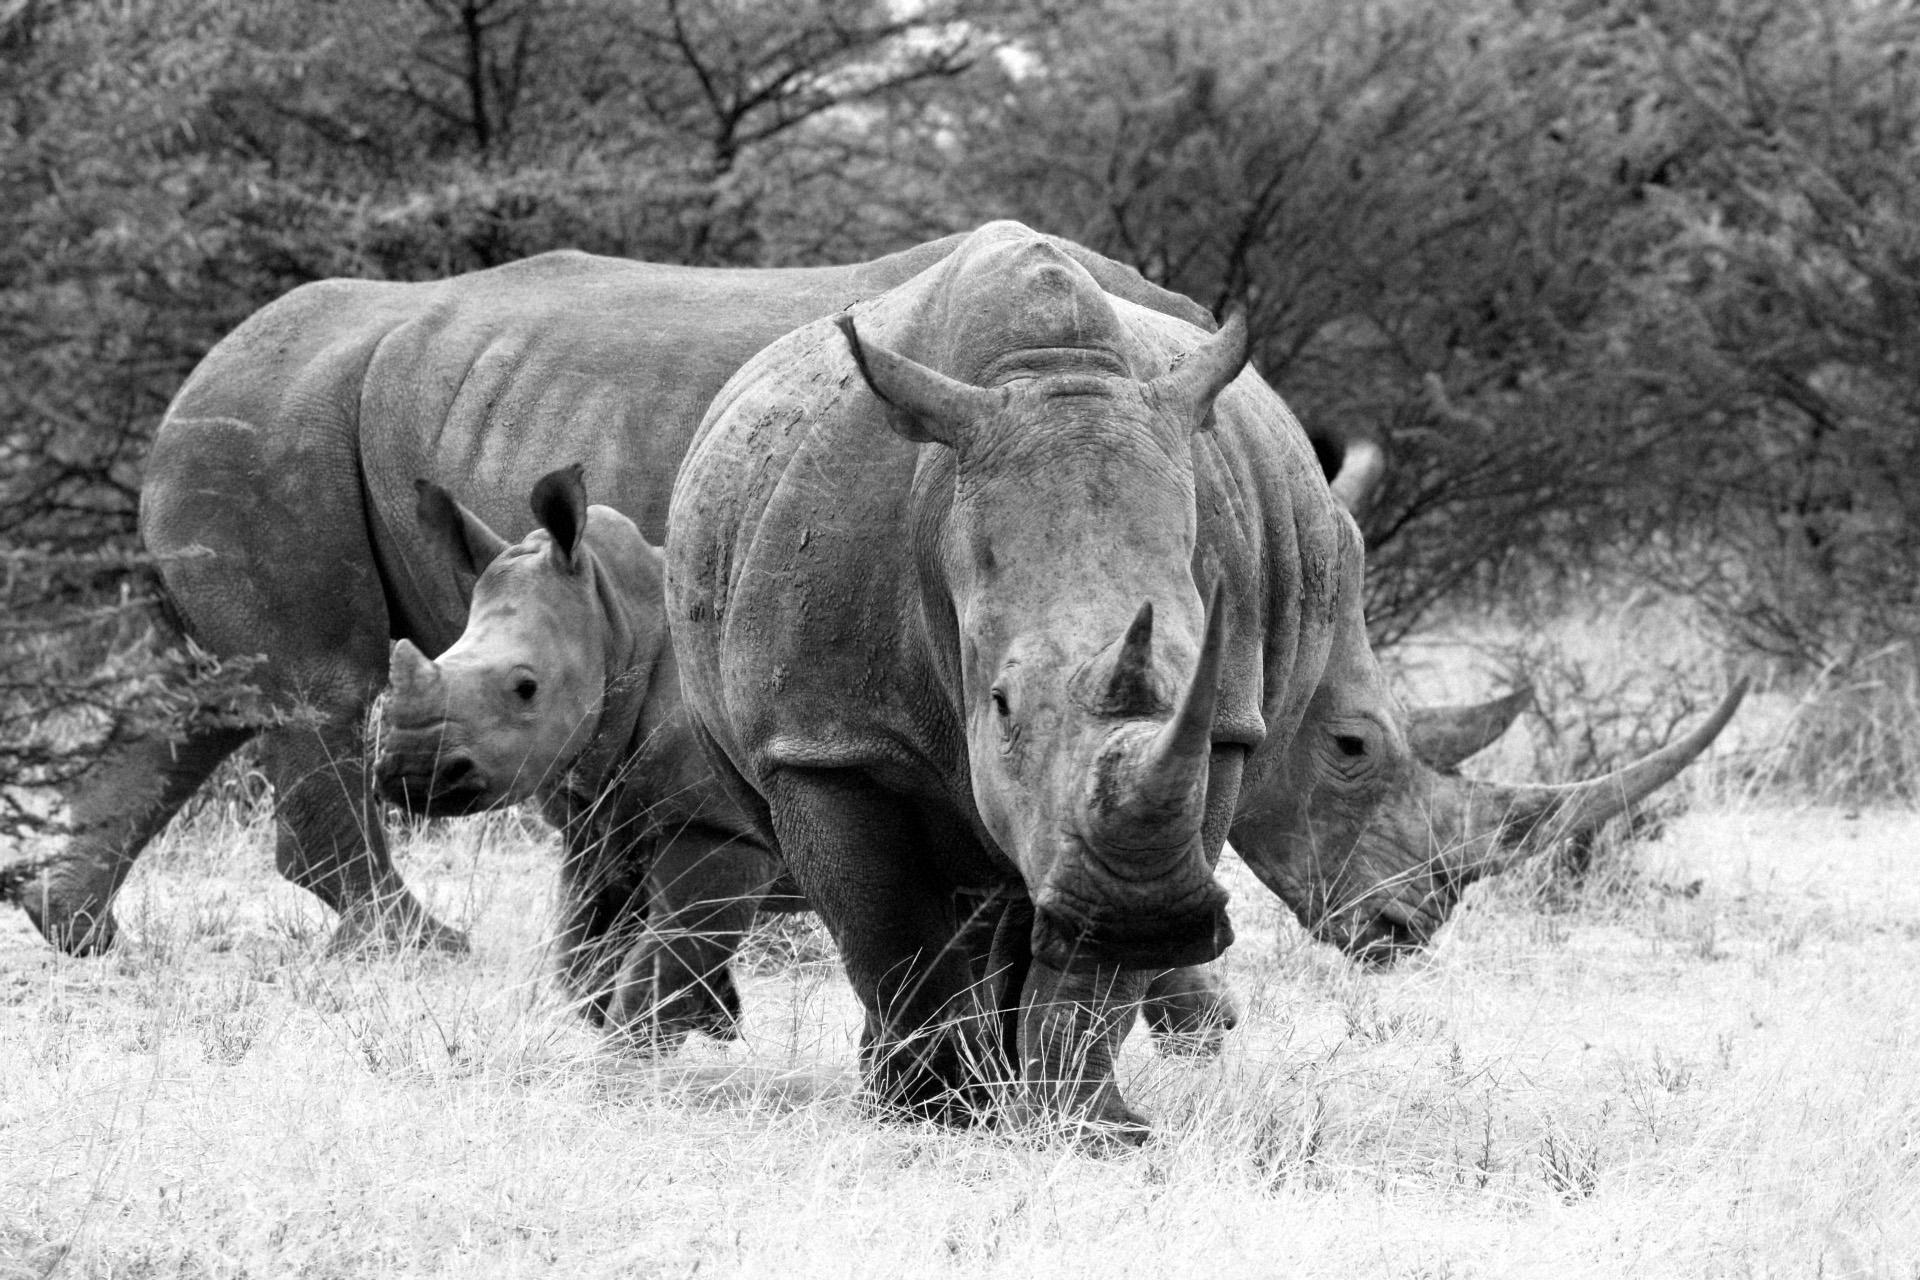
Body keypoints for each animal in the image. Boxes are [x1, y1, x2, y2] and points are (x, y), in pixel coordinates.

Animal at [12, 232, 1266, 958]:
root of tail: (199, 372)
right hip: (276, 423)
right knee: (313, 680)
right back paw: (428, 949)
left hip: (278, 419)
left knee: (211, 686)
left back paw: (74, 929)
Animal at [667, 221, 1743, 1136]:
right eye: (1001, 702)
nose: (1415, 922)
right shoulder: (823, 739)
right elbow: (887, 931)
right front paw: (930, 1112)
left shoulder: (1216, 724)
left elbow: (1090, 948)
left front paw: (1086, 1123)